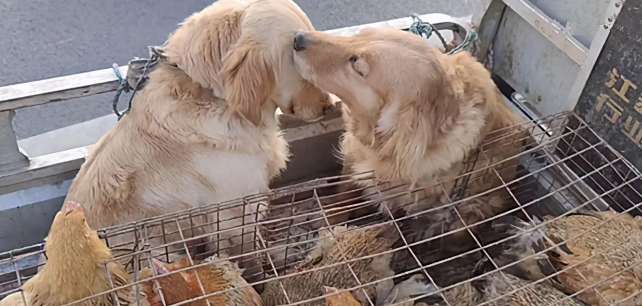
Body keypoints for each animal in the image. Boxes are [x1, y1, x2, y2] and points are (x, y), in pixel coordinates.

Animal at [290, 26, 524, 249]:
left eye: (357, 64)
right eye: (357, 36)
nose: (298, 38)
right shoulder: (354, 155)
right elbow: (343, 195)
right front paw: (330, 218)